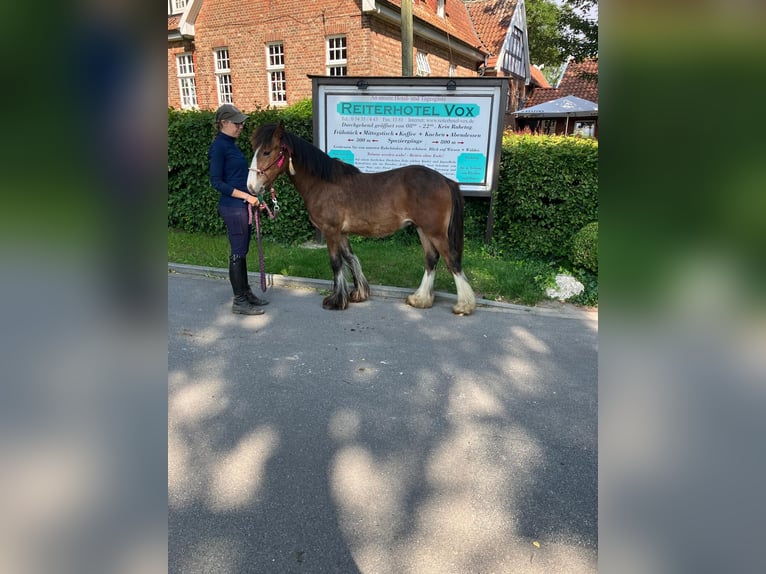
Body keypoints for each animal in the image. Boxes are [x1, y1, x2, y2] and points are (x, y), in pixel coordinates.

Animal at [246, 122, 476, 318]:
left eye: (267, 152)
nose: (251, 187)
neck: (322, 183)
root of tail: (445, 180)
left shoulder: (331, 231)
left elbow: (336, 263)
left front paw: (336, 301)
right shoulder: (342, 233)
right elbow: (350, 258)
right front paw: (358, 294)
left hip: (435, 231)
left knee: (451, 260)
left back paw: (464, 305)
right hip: (423, 230)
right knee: (431, 259)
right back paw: (421, 299)